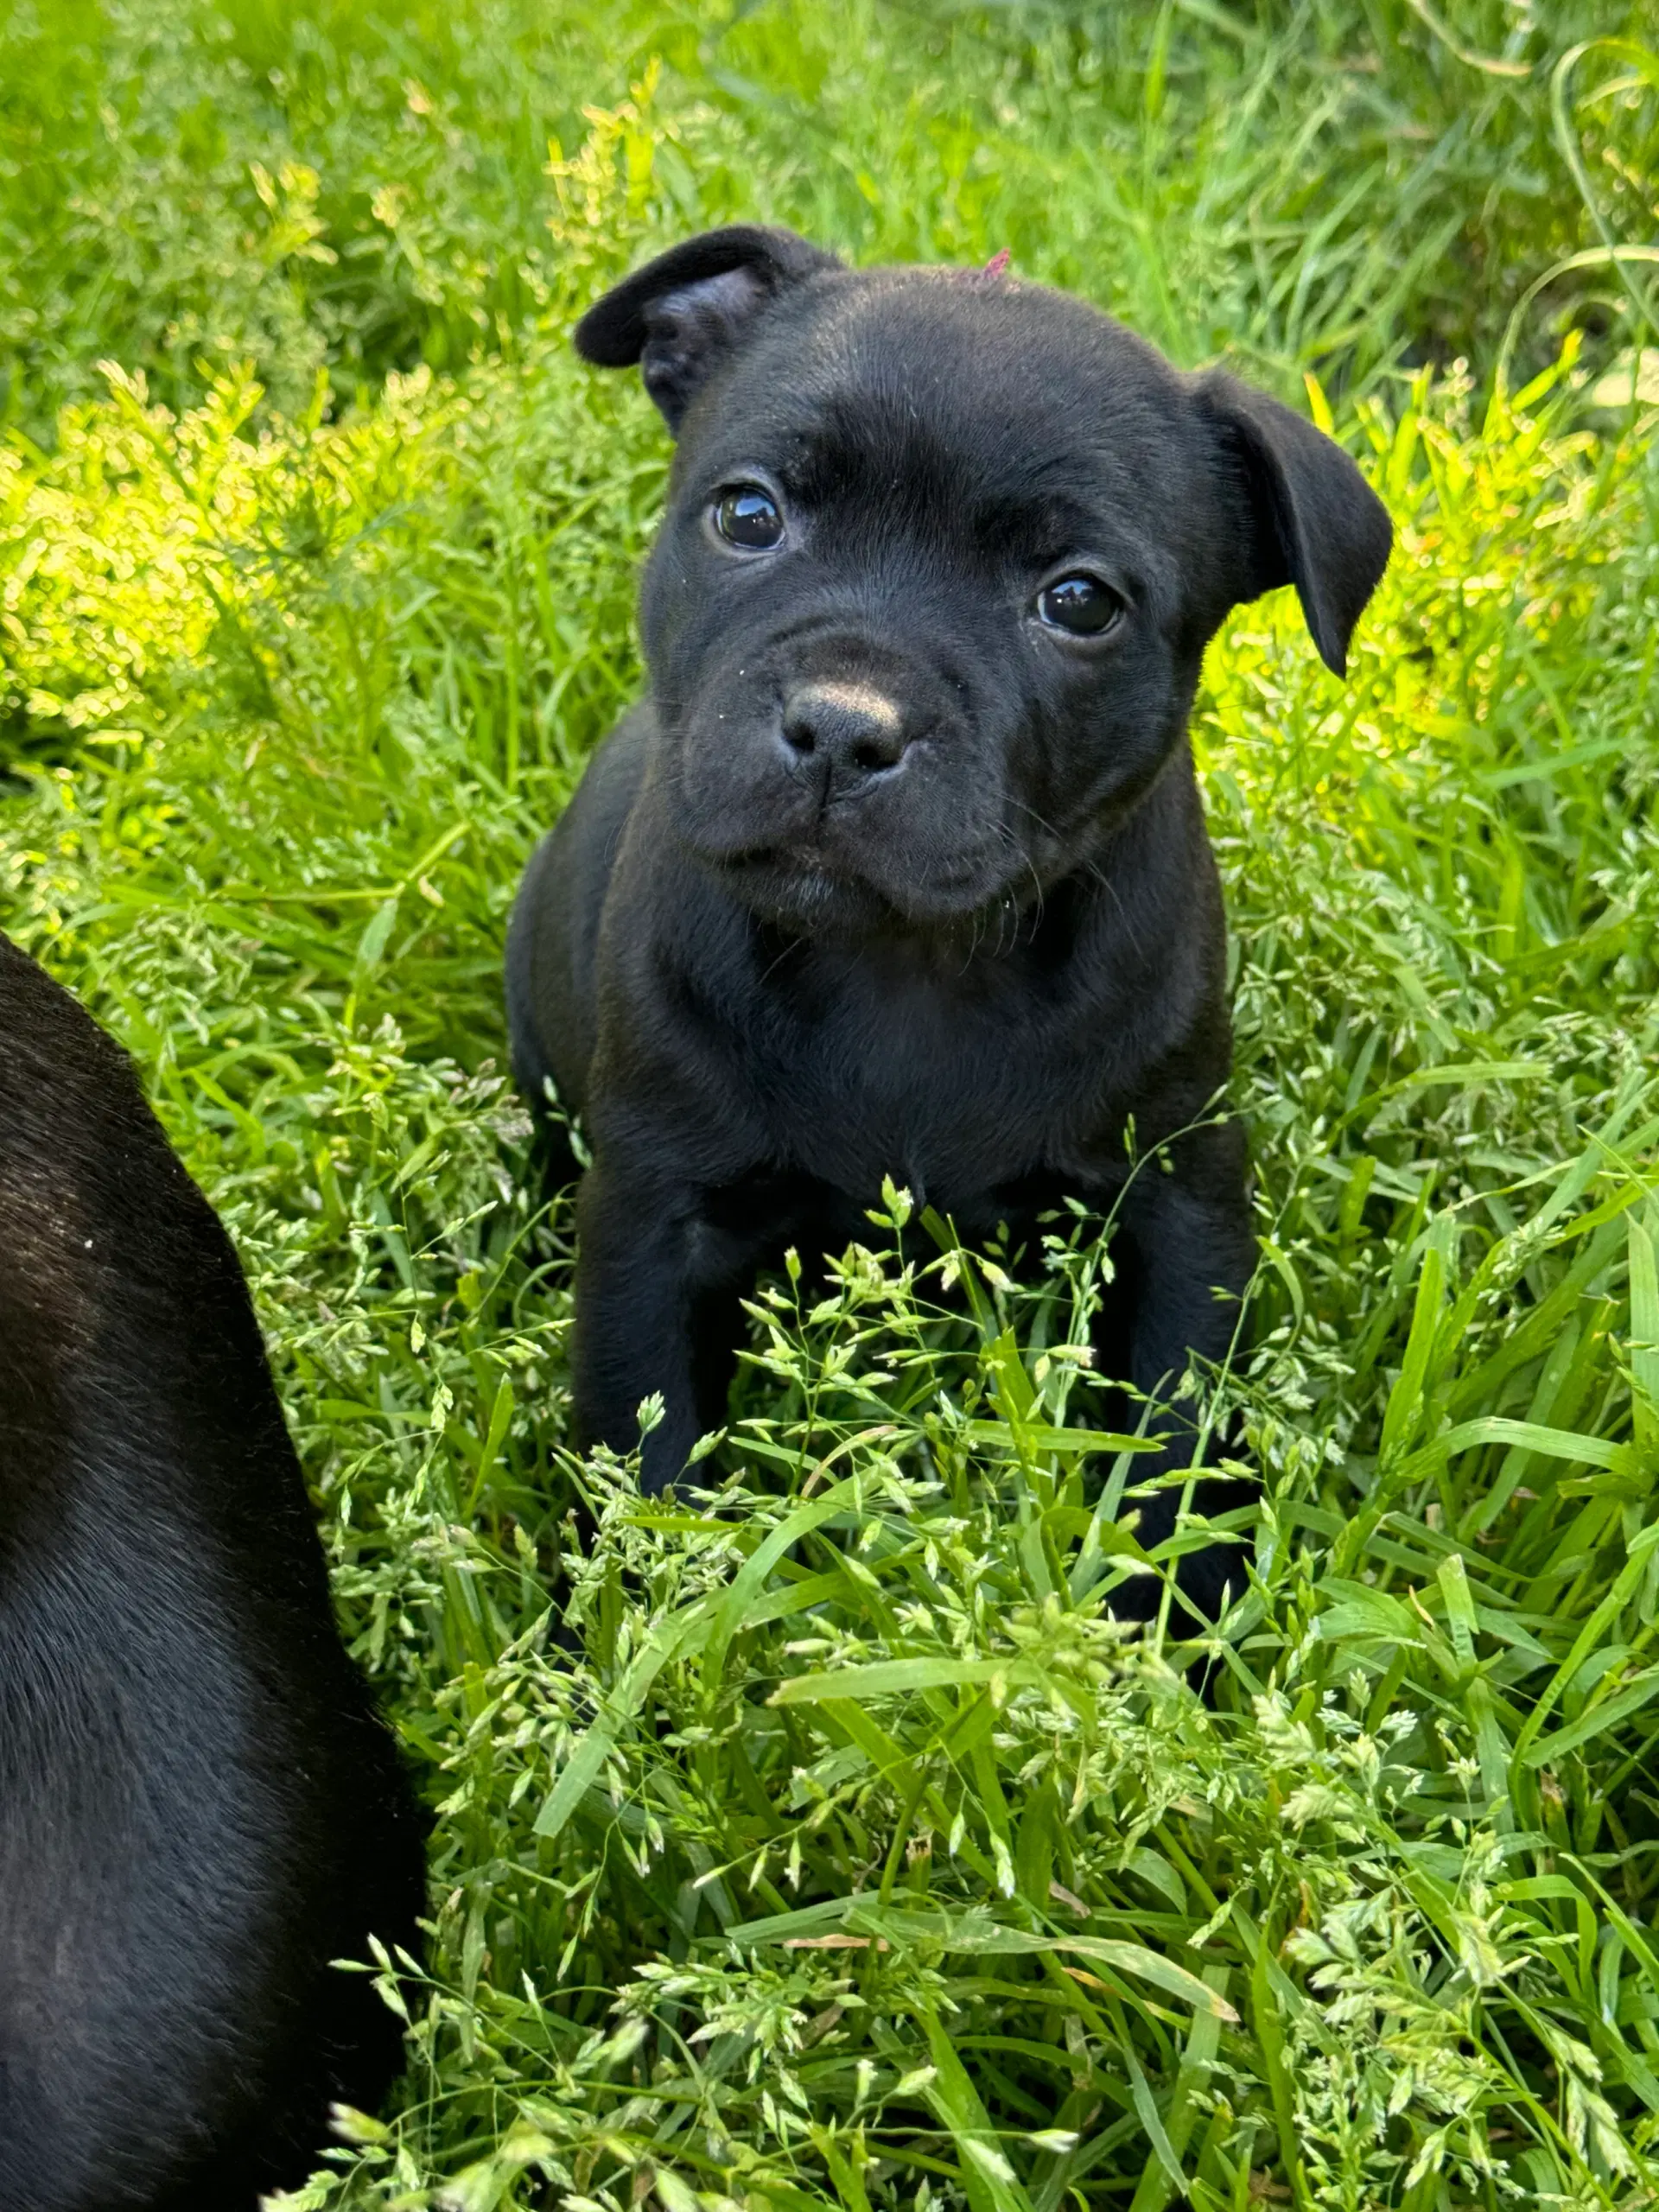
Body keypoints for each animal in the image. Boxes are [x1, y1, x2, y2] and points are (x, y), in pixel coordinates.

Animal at [512, 219, 1397, 1610]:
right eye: (749, 515)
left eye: (1079, 601)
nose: (843, 723)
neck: (907, 965)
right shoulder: (651, 1218)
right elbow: (639, 1452)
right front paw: (634, 1637)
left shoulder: (1179, 1191)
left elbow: (1178, 1433)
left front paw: (1174, 1626)